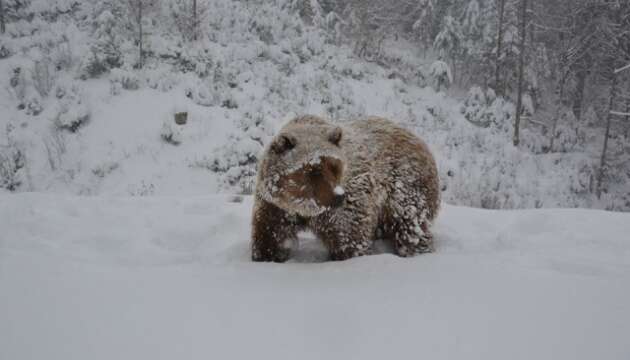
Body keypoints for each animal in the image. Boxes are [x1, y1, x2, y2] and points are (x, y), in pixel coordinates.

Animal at [251, 115, 440, 262]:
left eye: (335, 166)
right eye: (312, 169)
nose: (338, 196)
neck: (303, 208)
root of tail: (419, 140)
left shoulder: (346, 207)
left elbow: (349, 239)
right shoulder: (275, 205)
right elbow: (271, 235)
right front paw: (267, 255)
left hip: (405, 187)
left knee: (409, 225)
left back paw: (415, 250)